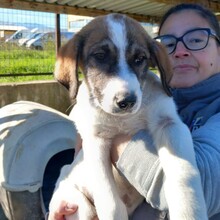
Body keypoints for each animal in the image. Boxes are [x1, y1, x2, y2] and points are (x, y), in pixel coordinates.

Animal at [48, 13, 208, 220]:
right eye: (100, 56)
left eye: (140, 59)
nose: (126, 101)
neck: (124, 120)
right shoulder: (95, 140)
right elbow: (109, 201)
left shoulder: (169, 124)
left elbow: (184, 172)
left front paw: (189, 212)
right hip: (77, 203)